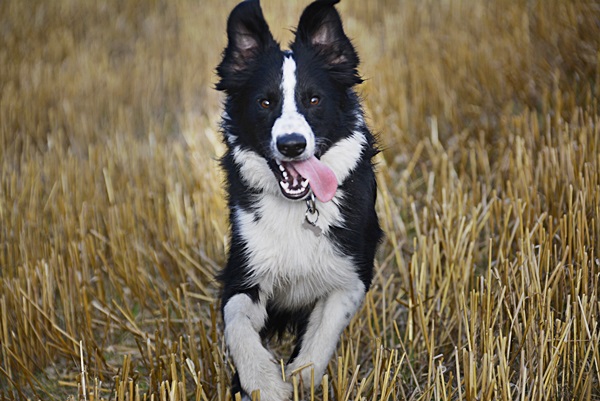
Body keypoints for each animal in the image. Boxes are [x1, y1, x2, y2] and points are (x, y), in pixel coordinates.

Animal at [216, 0, 382, 396]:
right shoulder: (243, 273)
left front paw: (300, 377)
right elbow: (238, 324)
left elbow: (323, 334)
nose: (291, 144)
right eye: (265, 102)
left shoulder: (353, 275)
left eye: (314, 99)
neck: (299, 206)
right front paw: (264, 384)